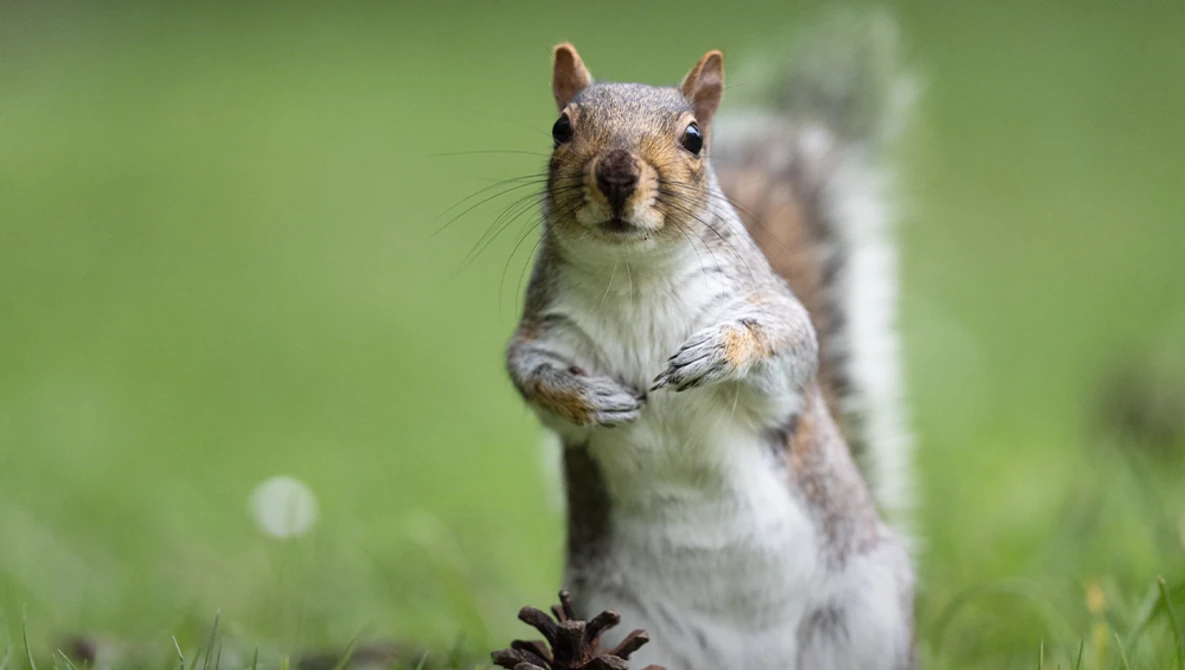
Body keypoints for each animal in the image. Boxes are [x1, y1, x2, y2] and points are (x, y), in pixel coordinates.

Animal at [505, 15, 916, 670]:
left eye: (694, 138)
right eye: (560, 127)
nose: (617, 174)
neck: (634, 275)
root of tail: (750, 658)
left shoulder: (770, 307)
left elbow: (787, 343)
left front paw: (717, 352)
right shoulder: (539, 333)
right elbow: (532, 377)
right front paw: (591, 399)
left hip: (862, 611)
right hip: (627, 621)